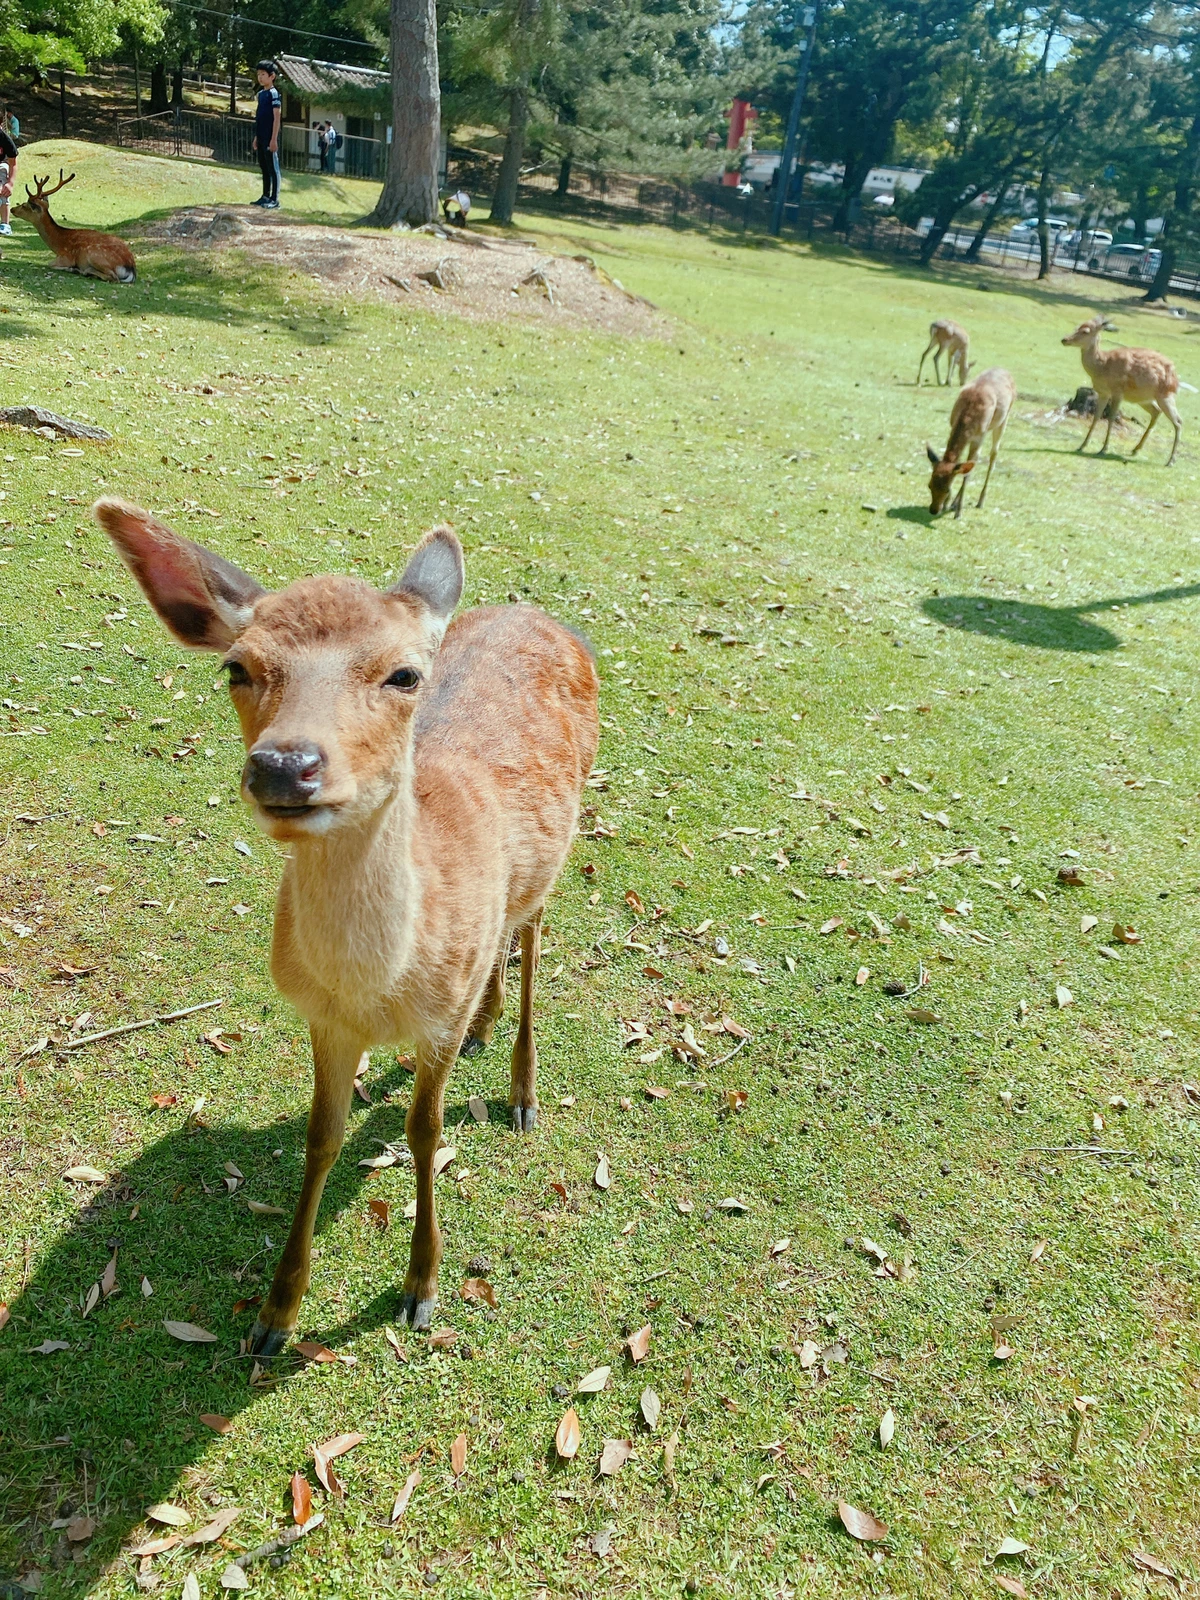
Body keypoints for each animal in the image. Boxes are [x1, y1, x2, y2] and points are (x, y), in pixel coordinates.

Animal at [92, 499, 601, 1350]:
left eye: (404, 674)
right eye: (237, 667)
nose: (284, 765)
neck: (380, 989)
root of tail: (543, 615)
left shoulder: (433, 1020)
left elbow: (426, 1130)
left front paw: (422, 1287)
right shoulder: (323, 1018)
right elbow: (320, 1135)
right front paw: (275, 1315)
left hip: (564, 841)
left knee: (533, 932)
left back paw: (523, 1091)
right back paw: (487, 1022)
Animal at [928, 366, 1017, 515]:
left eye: (946, 489)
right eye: (929, 485)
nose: (933, 510)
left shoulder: (979, 437)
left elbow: (967, 472)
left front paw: (958, 512)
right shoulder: (953, 425)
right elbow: (961, 466)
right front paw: (948, 505)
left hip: (1004, 419)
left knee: (993, 455)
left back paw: (980, 502)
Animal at [1062, 310, 1196, 464]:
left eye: (1085, 331)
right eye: (1078, 326)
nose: (1064, 339)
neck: (1102, 367)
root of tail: (1176, 379)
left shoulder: (1117, 391)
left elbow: (1111, 417)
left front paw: (1103, 449)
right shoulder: (1103, 392)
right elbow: (1096, 416)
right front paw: (1082, 446)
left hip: (1165, 395)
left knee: (1178, 421)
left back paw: (1171, 461)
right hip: (1144, 398)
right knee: (1156, 412)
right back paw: (1135, 449)